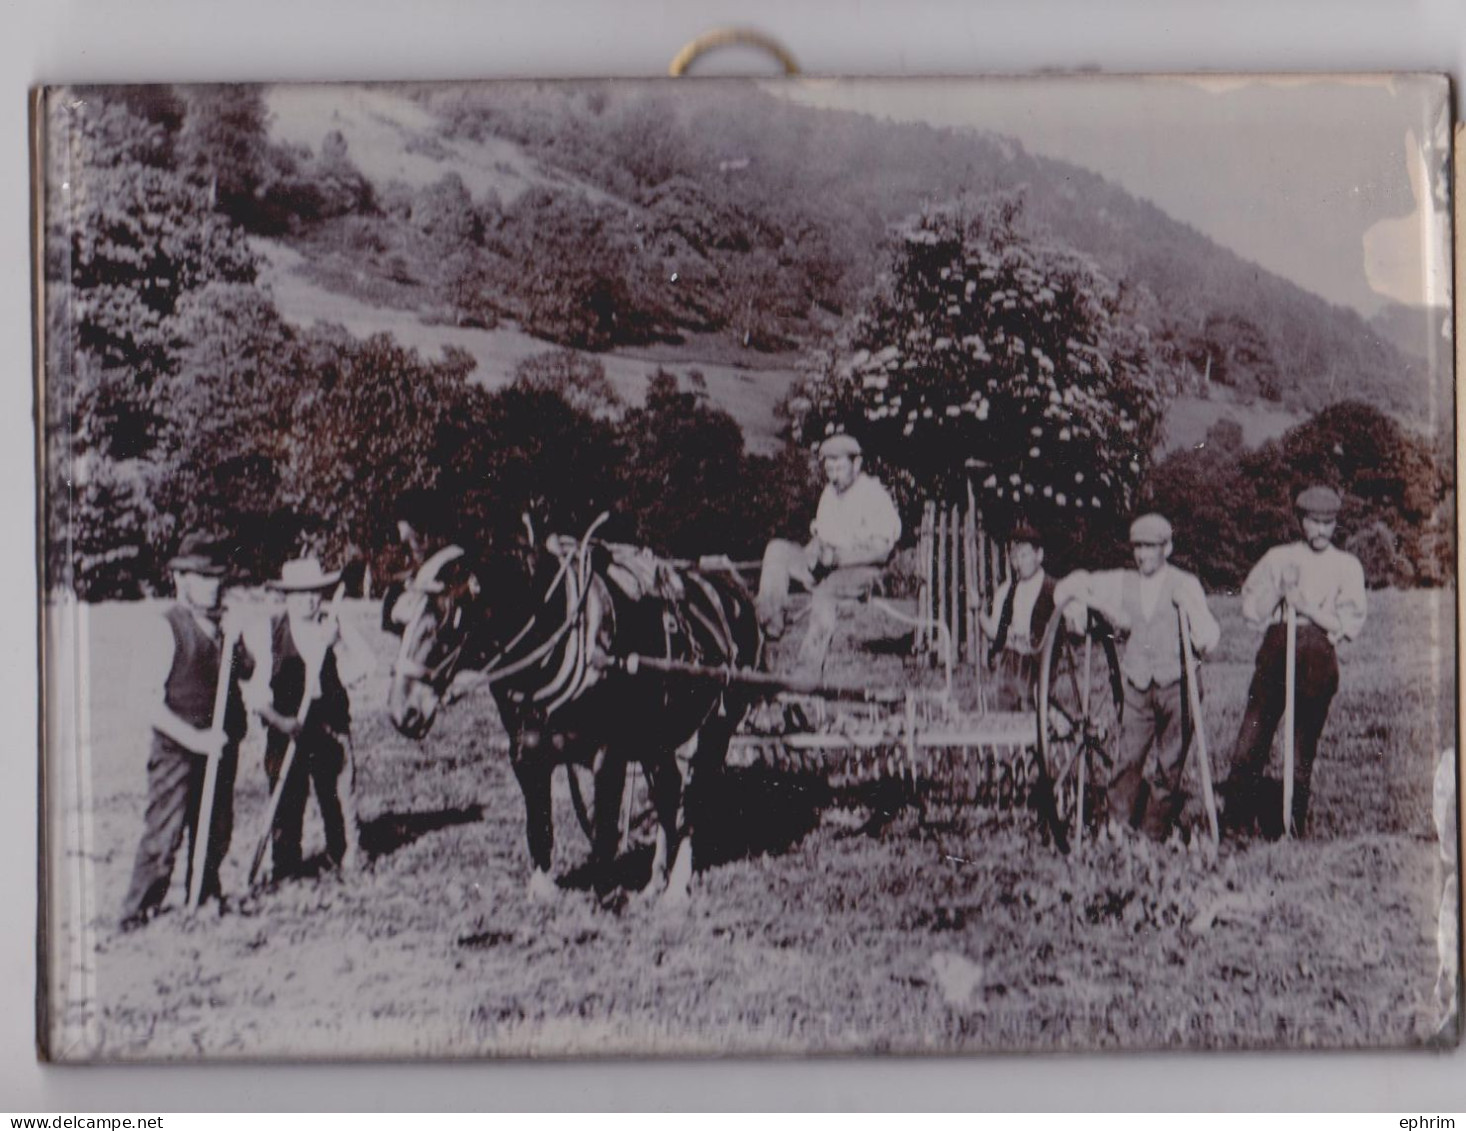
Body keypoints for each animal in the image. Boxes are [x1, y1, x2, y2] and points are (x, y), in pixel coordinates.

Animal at [384, 525, 762, 909]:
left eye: (448, 620)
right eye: (400, 621)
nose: (404, 711)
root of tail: (732, 589)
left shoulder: (610, 755)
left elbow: (605, 832)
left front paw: (606, 896)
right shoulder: (525, 751)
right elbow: (539, 826)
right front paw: (543, 889)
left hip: (715, 728)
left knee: (693, 800)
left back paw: (676, 885)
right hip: (657, 737)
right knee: (669, 795)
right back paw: (657, 879)